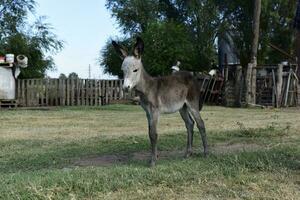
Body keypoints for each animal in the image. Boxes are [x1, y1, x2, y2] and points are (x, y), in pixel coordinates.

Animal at [111, 36, 207, 166]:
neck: (147, 87)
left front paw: (153, 161)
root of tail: (192, 76)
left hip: (192, 104)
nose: (126, 88)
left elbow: (153, 134)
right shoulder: (147, 112)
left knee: (200, 124)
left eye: (135, 70)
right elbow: (149, 132)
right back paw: (188, 153)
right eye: (122, 70)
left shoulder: (155, 111)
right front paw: (154, 156)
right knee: (190, 124)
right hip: (182, 107)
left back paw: (206, 153)